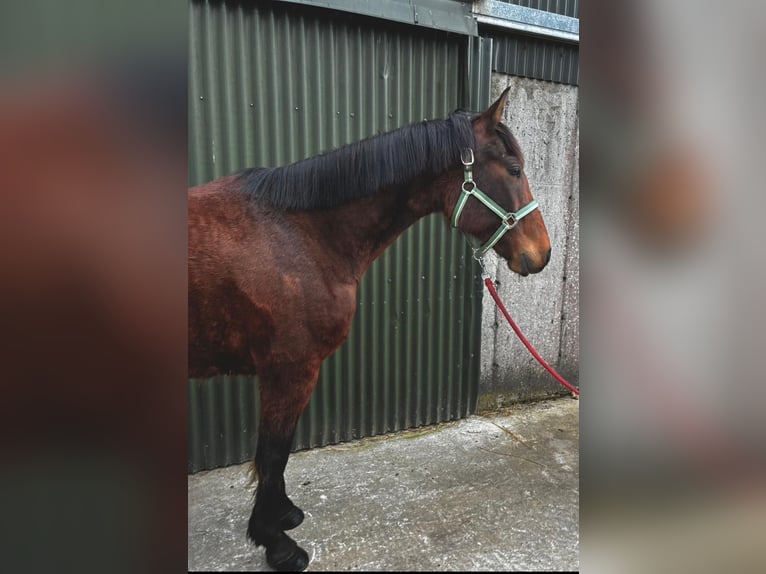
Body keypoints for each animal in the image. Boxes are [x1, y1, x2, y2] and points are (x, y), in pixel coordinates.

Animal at [188, 87, 551, 571]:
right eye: (513, 169)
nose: (543, 253)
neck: (300, 233)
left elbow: (278, 455)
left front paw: (283, 515)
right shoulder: (289, 370)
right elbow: (272, 452)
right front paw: (276, 543)